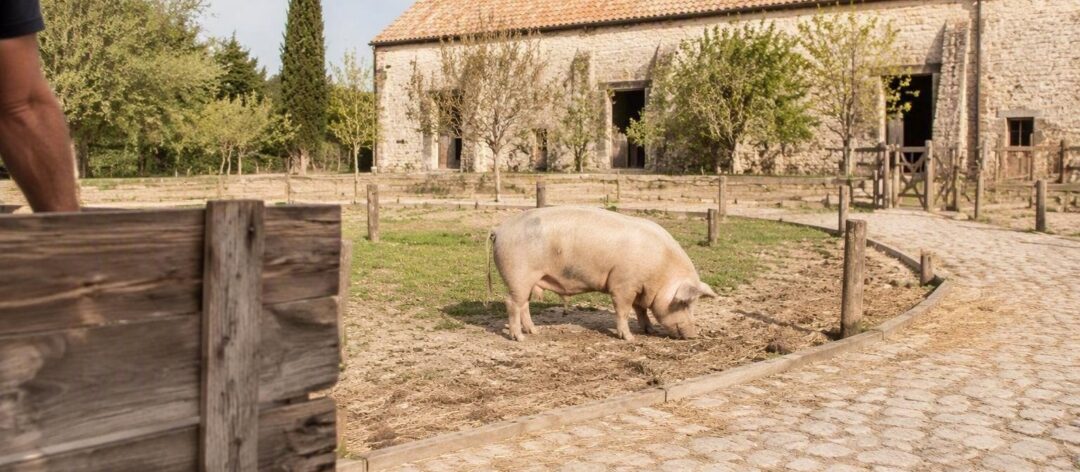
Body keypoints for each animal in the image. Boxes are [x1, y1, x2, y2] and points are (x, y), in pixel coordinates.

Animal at [487, 206, 717, 341]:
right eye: (684, 303)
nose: (694, 336)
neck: (661, 270)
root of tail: (498, 230)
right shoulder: (623, 284)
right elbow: (623, 310)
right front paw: (629, 338)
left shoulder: (639, 287)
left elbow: (641, 310)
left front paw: (649, 331)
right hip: (518, 276)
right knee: (512, 303)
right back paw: (519, 338)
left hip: (527, 280)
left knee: (524, 304)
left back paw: (534, 332)